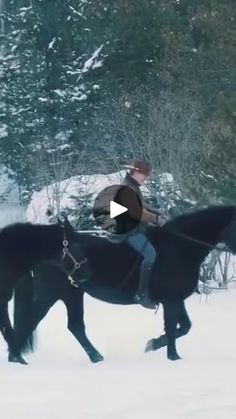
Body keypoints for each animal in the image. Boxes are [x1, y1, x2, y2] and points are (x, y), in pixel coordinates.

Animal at [12, 207, 236, 364]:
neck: (180, 246)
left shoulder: (175, 299)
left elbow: (184, 327)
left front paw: (153, 344)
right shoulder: (171, 299)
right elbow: (173, 328)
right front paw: (173, 358)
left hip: (72, 293)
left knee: (75, 326)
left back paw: (96, 358)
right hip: (51, 294)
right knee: (33, 321)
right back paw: (16, 358)